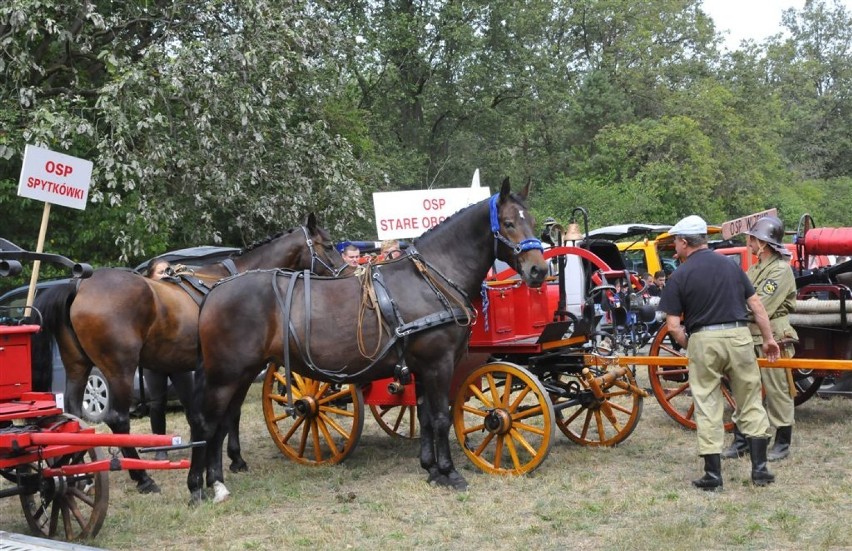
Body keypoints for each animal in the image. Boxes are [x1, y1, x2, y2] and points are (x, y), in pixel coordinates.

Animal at [33, 215, 342, 492]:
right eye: (327, 245)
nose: (345, 271)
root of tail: (78, 285)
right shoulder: (240, 371)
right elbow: (232, 413)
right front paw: (235, 459)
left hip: (78, 365)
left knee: (73, 415)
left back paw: (78, 474)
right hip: (118, 369)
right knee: (118, 419)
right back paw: (142, 478)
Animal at [186, 178, 544, 504]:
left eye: (533, 221)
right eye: (509, 223)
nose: (539, 270)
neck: (429, 280)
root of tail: (215, 290)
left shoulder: (422, 368)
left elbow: (426, 417)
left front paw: (431, 469)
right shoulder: (438, 364)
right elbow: (442, 418)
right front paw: (449, 473)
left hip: (242, 374)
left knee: (220, 423)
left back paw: (216, 482)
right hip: (226, 375)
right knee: (207, 424)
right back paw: (198, 488)